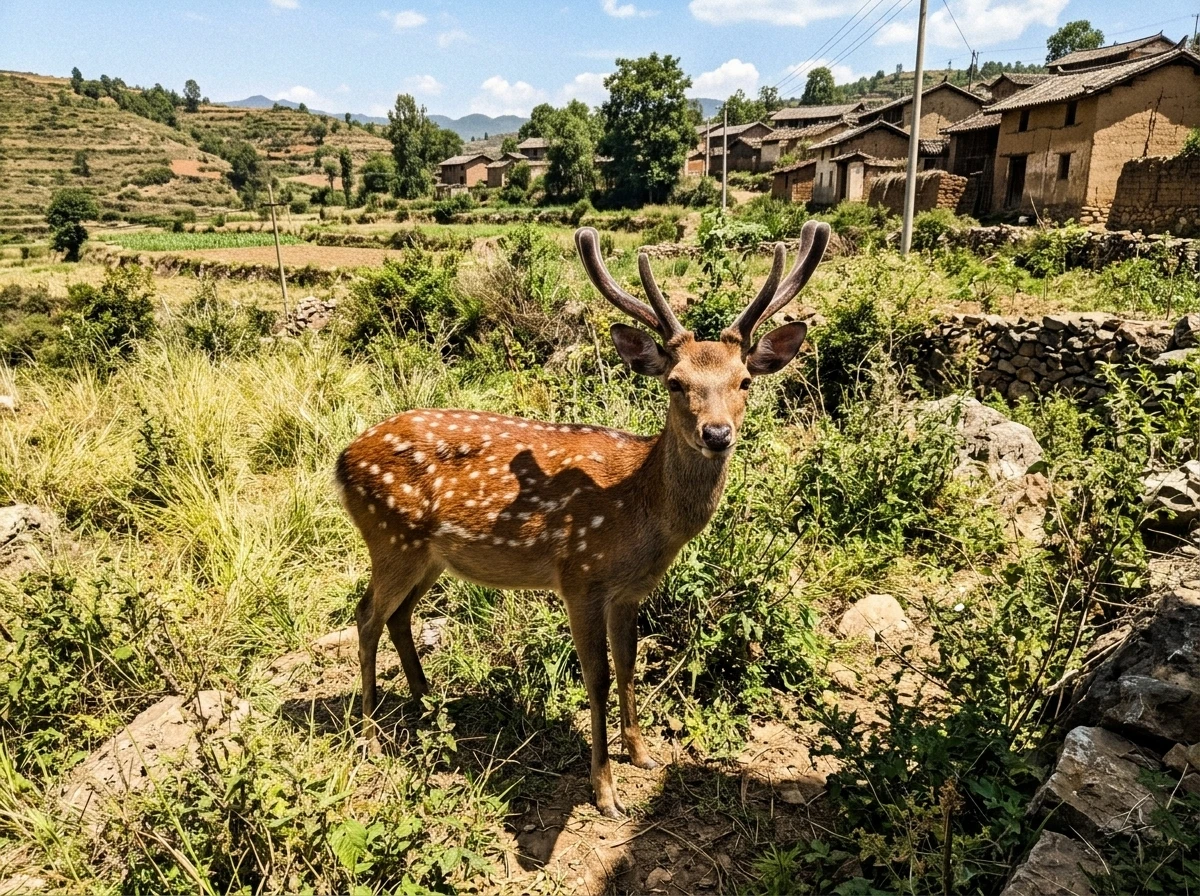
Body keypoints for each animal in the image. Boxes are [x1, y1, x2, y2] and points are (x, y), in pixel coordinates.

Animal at [335, 220, 830, 817]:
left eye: (744, 382)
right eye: (675, 382)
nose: (717, 433)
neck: (640, 509)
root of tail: (341, 462)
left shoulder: (630, 590)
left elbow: (628, 664)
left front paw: (641, 753)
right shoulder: (580, 577)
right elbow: (596, 678)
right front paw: (605, 791)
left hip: (427, 555)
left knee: (399, 616)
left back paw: (428, 702)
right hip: (390, 536)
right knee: (366, 615)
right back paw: (368, 733)